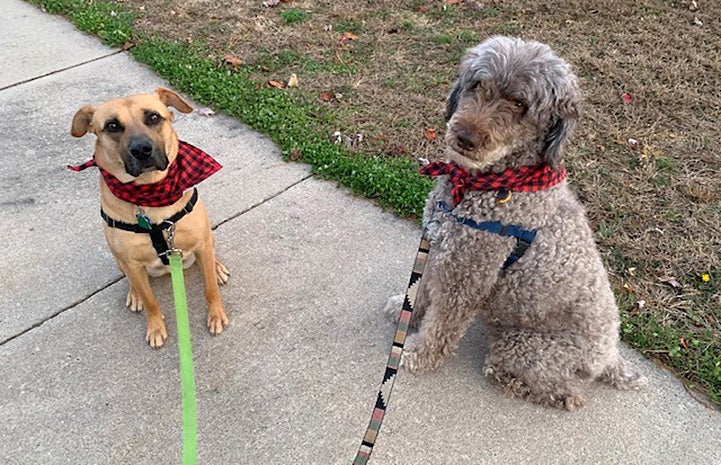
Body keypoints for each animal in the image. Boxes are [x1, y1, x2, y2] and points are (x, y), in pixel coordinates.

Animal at [70, 88, 228, 348]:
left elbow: (210, 289)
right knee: (133, 281)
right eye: (112, 125)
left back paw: (217, 268)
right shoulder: (132, 264)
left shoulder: (201, 242)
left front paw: (216, 314)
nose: (142, 150)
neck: (151, 195)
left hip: (207, 240)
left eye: (153, 117)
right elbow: (151, 300)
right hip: (119, 259)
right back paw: (134, 295)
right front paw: (155, 327)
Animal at [388, 36, 648, 408]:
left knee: (569, 394)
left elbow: (442, 325)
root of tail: (611, 354)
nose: (465, 137)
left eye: (520, 104)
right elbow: (421, 292)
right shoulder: (440, 251)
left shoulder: (468, 274)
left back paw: (516, 382)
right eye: (477, 84)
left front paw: (418, 354)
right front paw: (404, 312)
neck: (496, 183)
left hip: (524, 348)